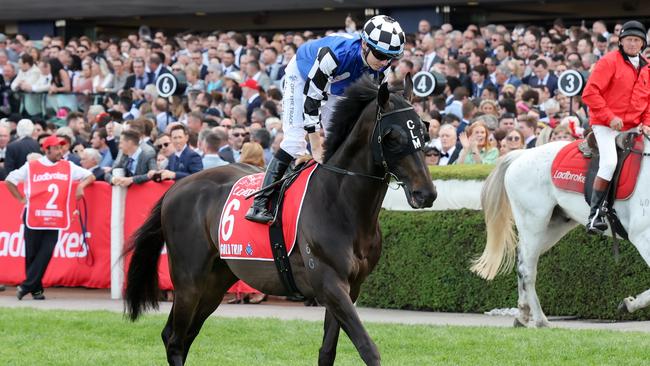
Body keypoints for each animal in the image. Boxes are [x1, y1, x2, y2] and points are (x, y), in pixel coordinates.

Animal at [468, 139, 648, 328]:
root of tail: (522, 154)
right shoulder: (642, 236)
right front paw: (630, 304)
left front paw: (630, 303)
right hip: (534, 223)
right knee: (527, 269)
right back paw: (540, 320)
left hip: (553, 227)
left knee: (522, 260)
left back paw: (523, 314)